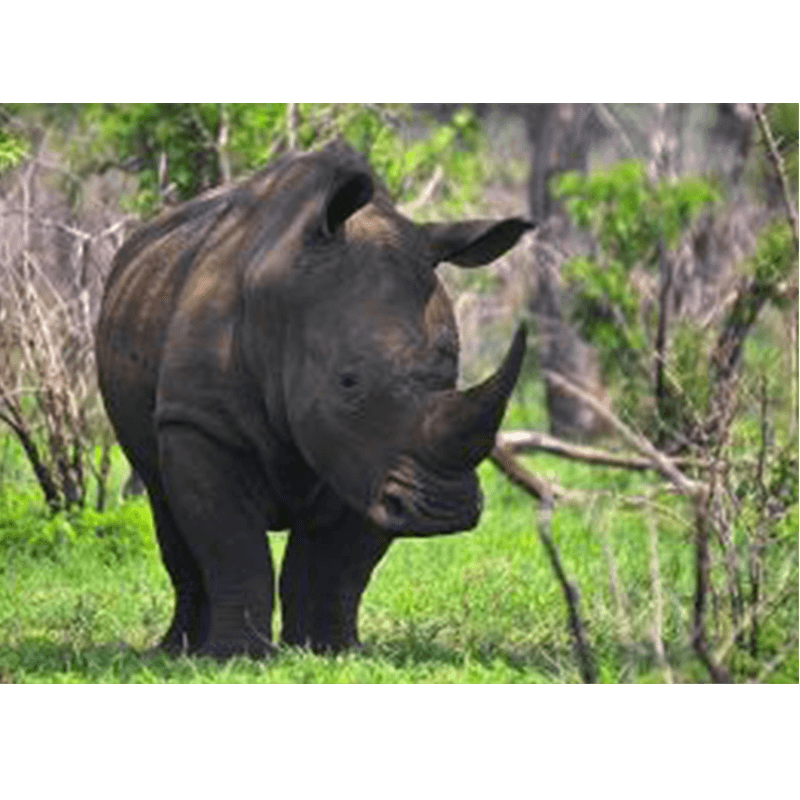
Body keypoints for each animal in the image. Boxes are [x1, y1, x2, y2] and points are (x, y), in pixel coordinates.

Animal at [96, 142, 533, 658]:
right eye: (348, 382)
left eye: (452, 371)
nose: (445, 510)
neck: (285, 298)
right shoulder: (201, 421)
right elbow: (232, 546)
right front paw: (236, 657)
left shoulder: (370, 459)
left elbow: (336, 566)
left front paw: (328, 650)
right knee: (163, 501)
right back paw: (175, 650)